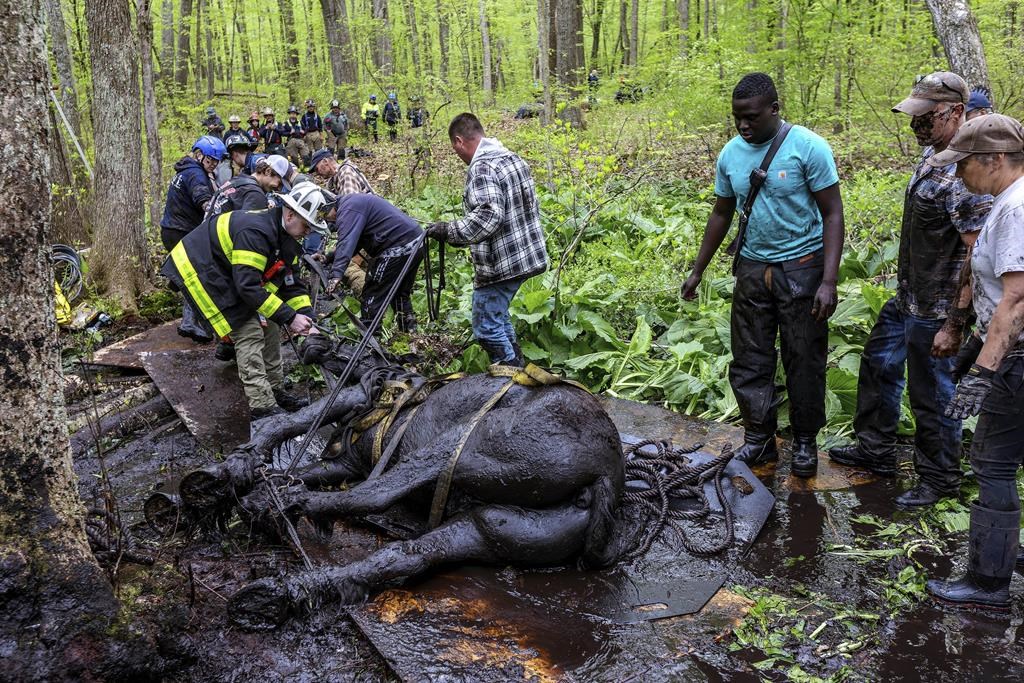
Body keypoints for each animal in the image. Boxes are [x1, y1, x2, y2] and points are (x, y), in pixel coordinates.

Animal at [153, 335, 737, 630]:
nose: (305, 335)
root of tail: (609, 475)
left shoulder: (354, 410)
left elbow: (286, 426)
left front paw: (227, 480)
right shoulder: (345, 460)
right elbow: (303, 460)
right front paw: (232, 486)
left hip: (464, 448)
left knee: (377, 496)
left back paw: (286, 516)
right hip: (494, 528)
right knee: (404, 557)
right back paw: (284, 593)